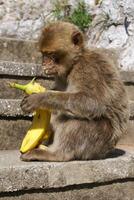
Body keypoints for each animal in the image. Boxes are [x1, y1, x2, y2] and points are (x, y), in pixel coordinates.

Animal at [20, 21, 129, 162]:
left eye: (51, 54)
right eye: (44, 54)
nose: (44, 64)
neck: (75, 62)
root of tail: (106, 152)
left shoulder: (87, 69)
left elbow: (93, 103)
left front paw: (40, 98)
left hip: (97, 144)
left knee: (75, 118)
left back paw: (57, 154)